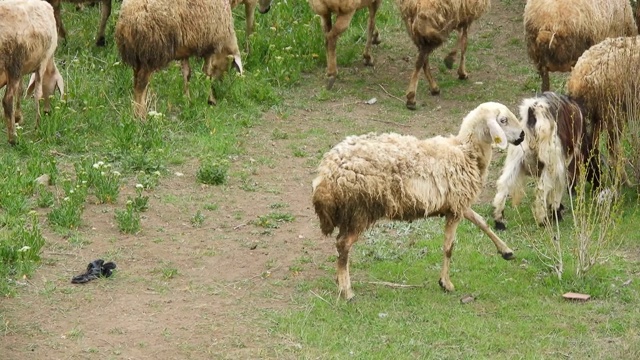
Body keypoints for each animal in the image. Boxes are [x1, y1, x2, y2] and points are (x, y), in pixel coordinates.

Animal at [0, 0, 64, 146]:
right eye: (54, 89)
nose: (47, 112)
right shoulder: (42, 62)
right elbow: (37, 94)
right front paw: (38, 126)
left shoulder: (22, 70)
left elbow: (21, 90)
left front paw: (18, 117)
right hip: (14, 62)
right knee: (7, 100)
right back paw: (13, 139)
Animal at [114, 0, 244, 119]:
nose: (220, 81)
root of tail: (127, 21)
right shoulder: (209, 46)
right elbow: (207, 73)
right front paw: (210, 99)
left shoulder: (184, 52)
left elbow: (187, 74)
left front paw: (187, 100)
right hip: (151, 53)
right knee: (141, 84)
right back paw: (141, 116)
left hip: (137, 56)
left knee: (136, 80)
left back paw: (137, 112)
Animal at [310, 100, 524, 298]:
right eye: (503, 120)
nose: (522, 136)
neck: (465, 151)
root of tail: (327, 173)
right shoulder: (456, 208)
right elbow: (449, 247)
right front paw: (445, 283)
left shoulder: (457, 203)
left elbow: (481, 222)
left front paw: (505, 250)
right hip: (360, 210)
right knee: (343, 244)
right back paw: (347, 291)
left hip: (349, 212)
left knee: (340, 245)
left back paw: (340, 279)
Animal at [490, 91, 592, 229]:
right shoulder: (561, 164)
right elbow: (557, 189)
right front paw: (556, 213)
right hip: (551, 163)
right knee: (541, 190)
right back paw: (543, 220)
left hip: (516, 159)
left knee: (503, 184)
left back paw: (499, 221)